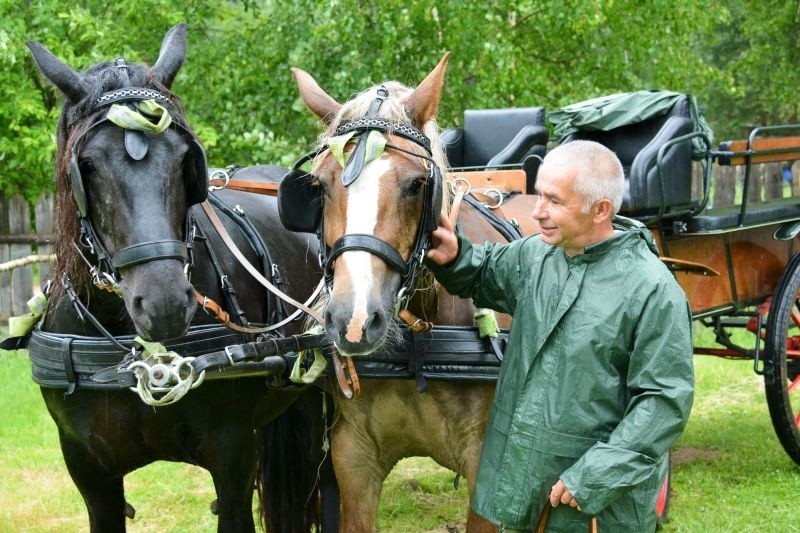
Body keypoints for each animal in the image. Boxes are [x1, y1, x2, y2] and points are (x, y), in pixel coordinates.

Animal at [280, 55, 524, 532]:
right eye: (320, 186)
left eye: (415, 185)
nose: (354, 321)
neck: (420, 344)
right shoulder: (353, 456)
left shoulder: (488, 464)